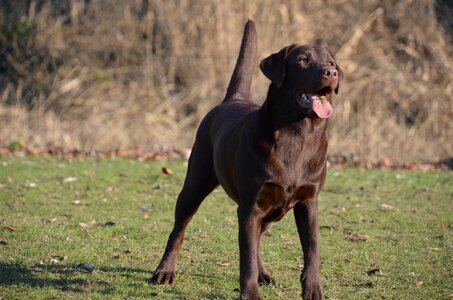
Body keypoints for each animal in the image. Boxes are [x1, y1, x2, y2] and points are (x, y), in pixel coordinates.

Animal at [149, 19, 342, 298]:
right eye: (303, 60)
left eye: (330, 62)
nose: (331, 73)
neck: (297, 134)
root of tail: (233, 99)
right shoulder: (251, 206)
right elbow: (246, 256)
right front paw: (250, 293)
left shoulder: (308, 201)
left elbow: (312, 249)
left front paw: (313, 289)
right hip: (195, 184)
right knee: (179, 229)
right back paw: (164, 271)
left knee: (258, 239)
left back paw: (263, 274)